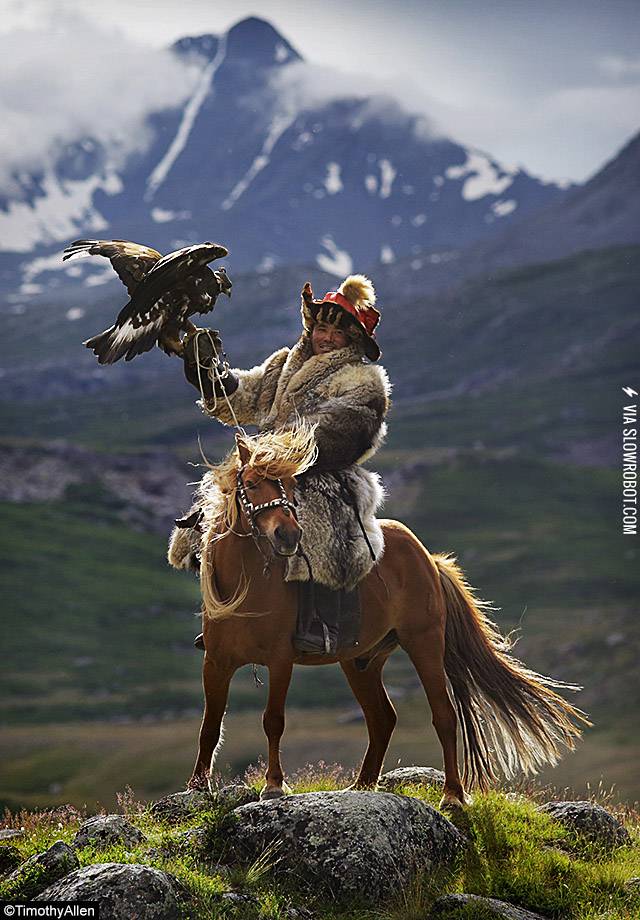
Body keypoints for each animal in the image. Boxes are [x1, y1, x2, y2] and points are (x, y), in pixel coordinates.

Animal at [188, 426, 589, 808]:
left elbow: (273, 720)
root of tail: (428, 558)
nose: (288, 535)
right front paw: (196, 787)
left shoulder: (280, 660)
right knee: (382, 718)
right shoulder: (216, 662)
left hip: (424, 642)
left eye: (289, 487)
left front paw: (273, 785)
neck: (248, 584)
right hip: (361, 661)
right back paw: (363, 786)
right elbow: (210, 724)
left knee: (443, 714)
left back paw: (452, 795)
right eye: (253, 484)